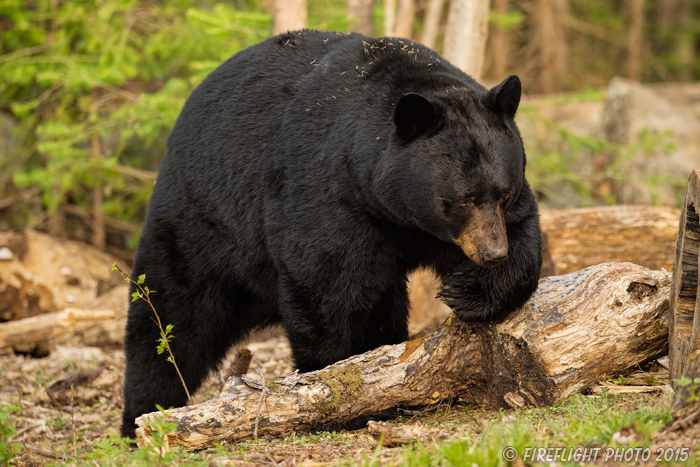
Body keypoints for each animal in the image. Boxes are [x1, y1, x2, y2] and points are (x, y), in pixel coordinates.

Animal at [121, 29, 540, 438]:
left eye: (503, 193)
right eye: (462, 199)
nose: (491, 253)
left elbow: (522, 235)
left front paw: (469, 291)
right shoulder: (328, 192)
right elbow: (325, 286)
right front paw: (339, 390)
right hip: (202, 223)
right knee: (171, 318)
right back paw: (142, 415)